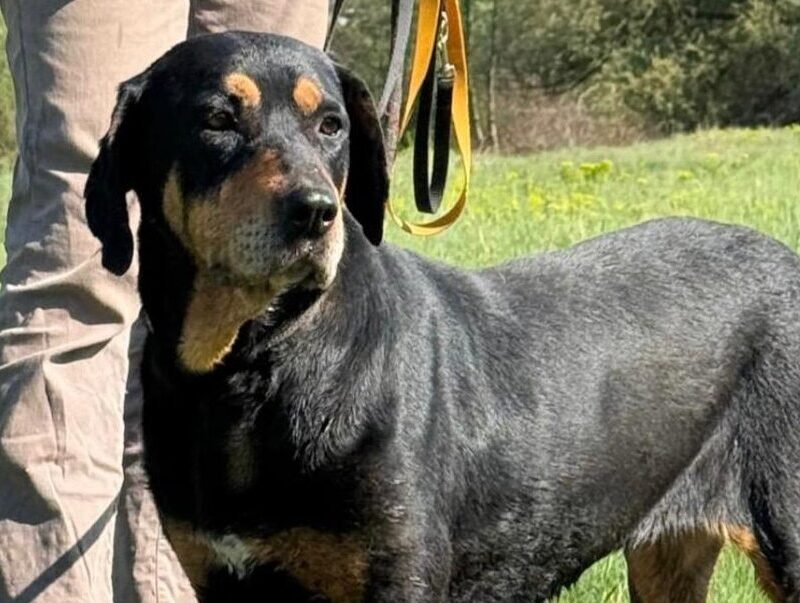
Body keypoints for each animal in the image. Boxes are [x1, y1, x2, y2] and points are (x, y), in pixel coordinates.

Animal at [85, 32, 800, 602]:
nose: (314, 213)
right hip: (667, 556)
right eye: (217, 119)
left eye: (331, 125)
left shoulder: (395, 575)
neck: (251, 366)